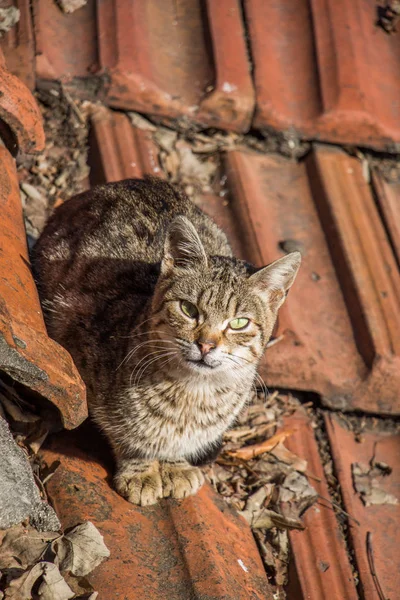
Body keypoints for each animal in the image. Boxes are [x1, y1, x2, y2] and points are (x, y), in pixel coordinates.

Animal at [32, 176, 300, 504]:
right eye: (189, 309)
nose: (206, 344)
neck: (192, 392)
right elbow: (127, 433)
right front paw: (141, 470)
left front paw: (174, 466)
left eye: (239, 323)